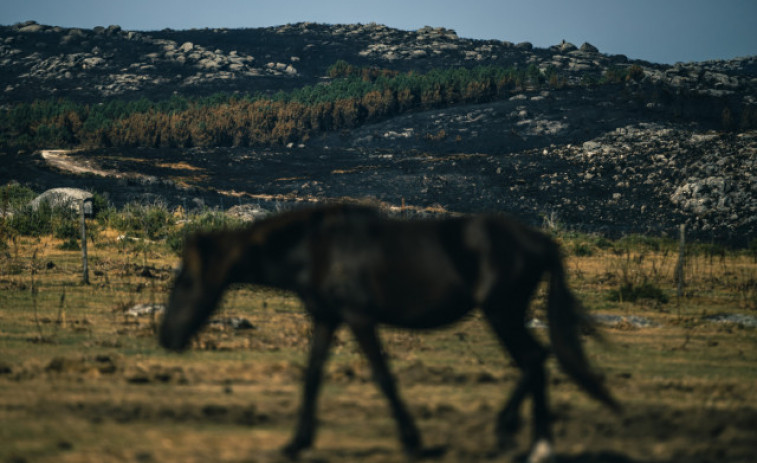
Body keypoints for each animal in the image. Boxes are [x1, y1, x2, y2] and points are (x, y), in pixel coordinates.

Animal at [161, 205, 620, 462]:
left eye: (186, 282)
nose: (166, 337)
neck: (314, 249)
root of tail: (540, 241)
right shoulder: (327, 319)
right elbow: (312, 377)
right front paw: (296, 444)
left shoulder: (359, 317)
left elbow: (383, 377)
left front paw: (413, 442)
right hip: (504, 314)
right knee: (536, 362)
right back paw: (520, 437)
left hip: (502, 313)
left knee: (534, 361)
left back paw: (530, 442)